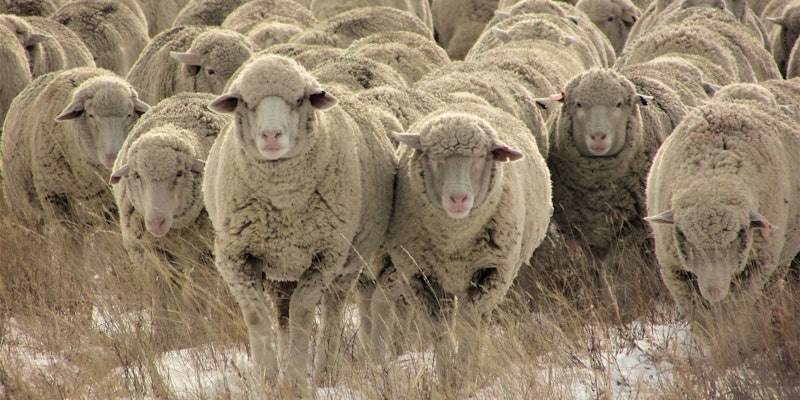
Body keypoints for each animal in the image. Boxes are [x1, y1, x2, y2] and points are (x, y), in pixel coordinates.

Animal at [1, 67, 148, 235]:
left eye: (129, 114)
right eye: (91, 115)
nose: (113, 158)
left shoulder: (111, 209)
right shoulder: (56, 200)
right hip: (23, 209)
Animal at [108, 92, 227, 349]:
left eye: (180, 173)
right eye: (137, 175)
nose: (156, 223)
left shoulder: (204, 255)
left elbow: (200, 293)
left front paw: (199, 334)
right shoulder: (154, 255)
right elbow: (164, 294)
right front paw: (166, 336)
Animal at [203, 54, 395, 394]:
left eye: (298, 100)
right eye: (246, 102)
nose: (271, 136)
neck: (282, 201)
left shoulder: (325, 256)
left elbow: (303, 313)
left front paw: (296, 380)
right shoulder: (235, 257)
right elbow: (257, 316)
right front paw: (267, 379)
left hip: (349, 261)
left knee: (332, 309)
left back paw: (325, 372)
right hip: (282, 269)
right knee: (281, 314)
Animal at [368, 101, 551, 394]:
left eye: (481, 156)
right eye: (434, 157)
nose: (458, 198)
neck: (455, 240)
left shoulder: (489, 274)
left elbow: (468, 327)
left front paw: (465, 377)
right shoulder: (422, 277)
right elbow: (440, 331)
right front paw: (447, 379)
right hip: (399, 264)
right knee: (381, 301)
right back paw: (378, 361)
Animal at [644, 101, 800, 338]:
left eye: (736, 235)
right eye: (686, 237)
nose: (714, 292)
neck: (712, 176)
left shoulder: (756, 266)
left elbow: (735, 312)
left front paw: (732, 340)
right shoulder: (674, 270)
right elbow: (700, 318)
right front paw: (713, 343)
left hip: (779, 260)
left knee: (769, 292)